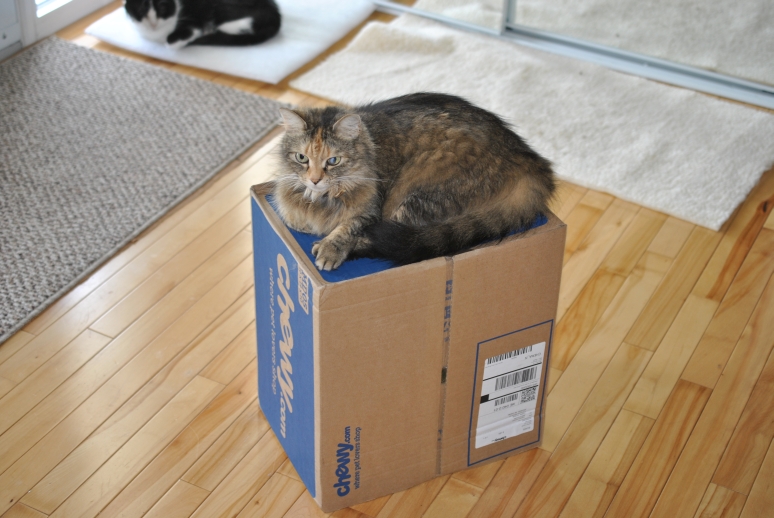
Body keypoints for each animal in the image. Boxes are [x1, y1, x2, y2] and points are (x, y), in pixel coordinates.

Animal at [273, 92, 556, 271]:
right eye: (301, 158)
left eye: (333, 161)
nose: (314, 180)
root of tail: (524, 156)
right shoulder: (292, 212)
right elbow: (297, 220)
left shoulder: (371, 211)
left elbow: (348, 227)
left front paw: (330, 248)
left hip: (416, 197)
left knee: (395, 244)